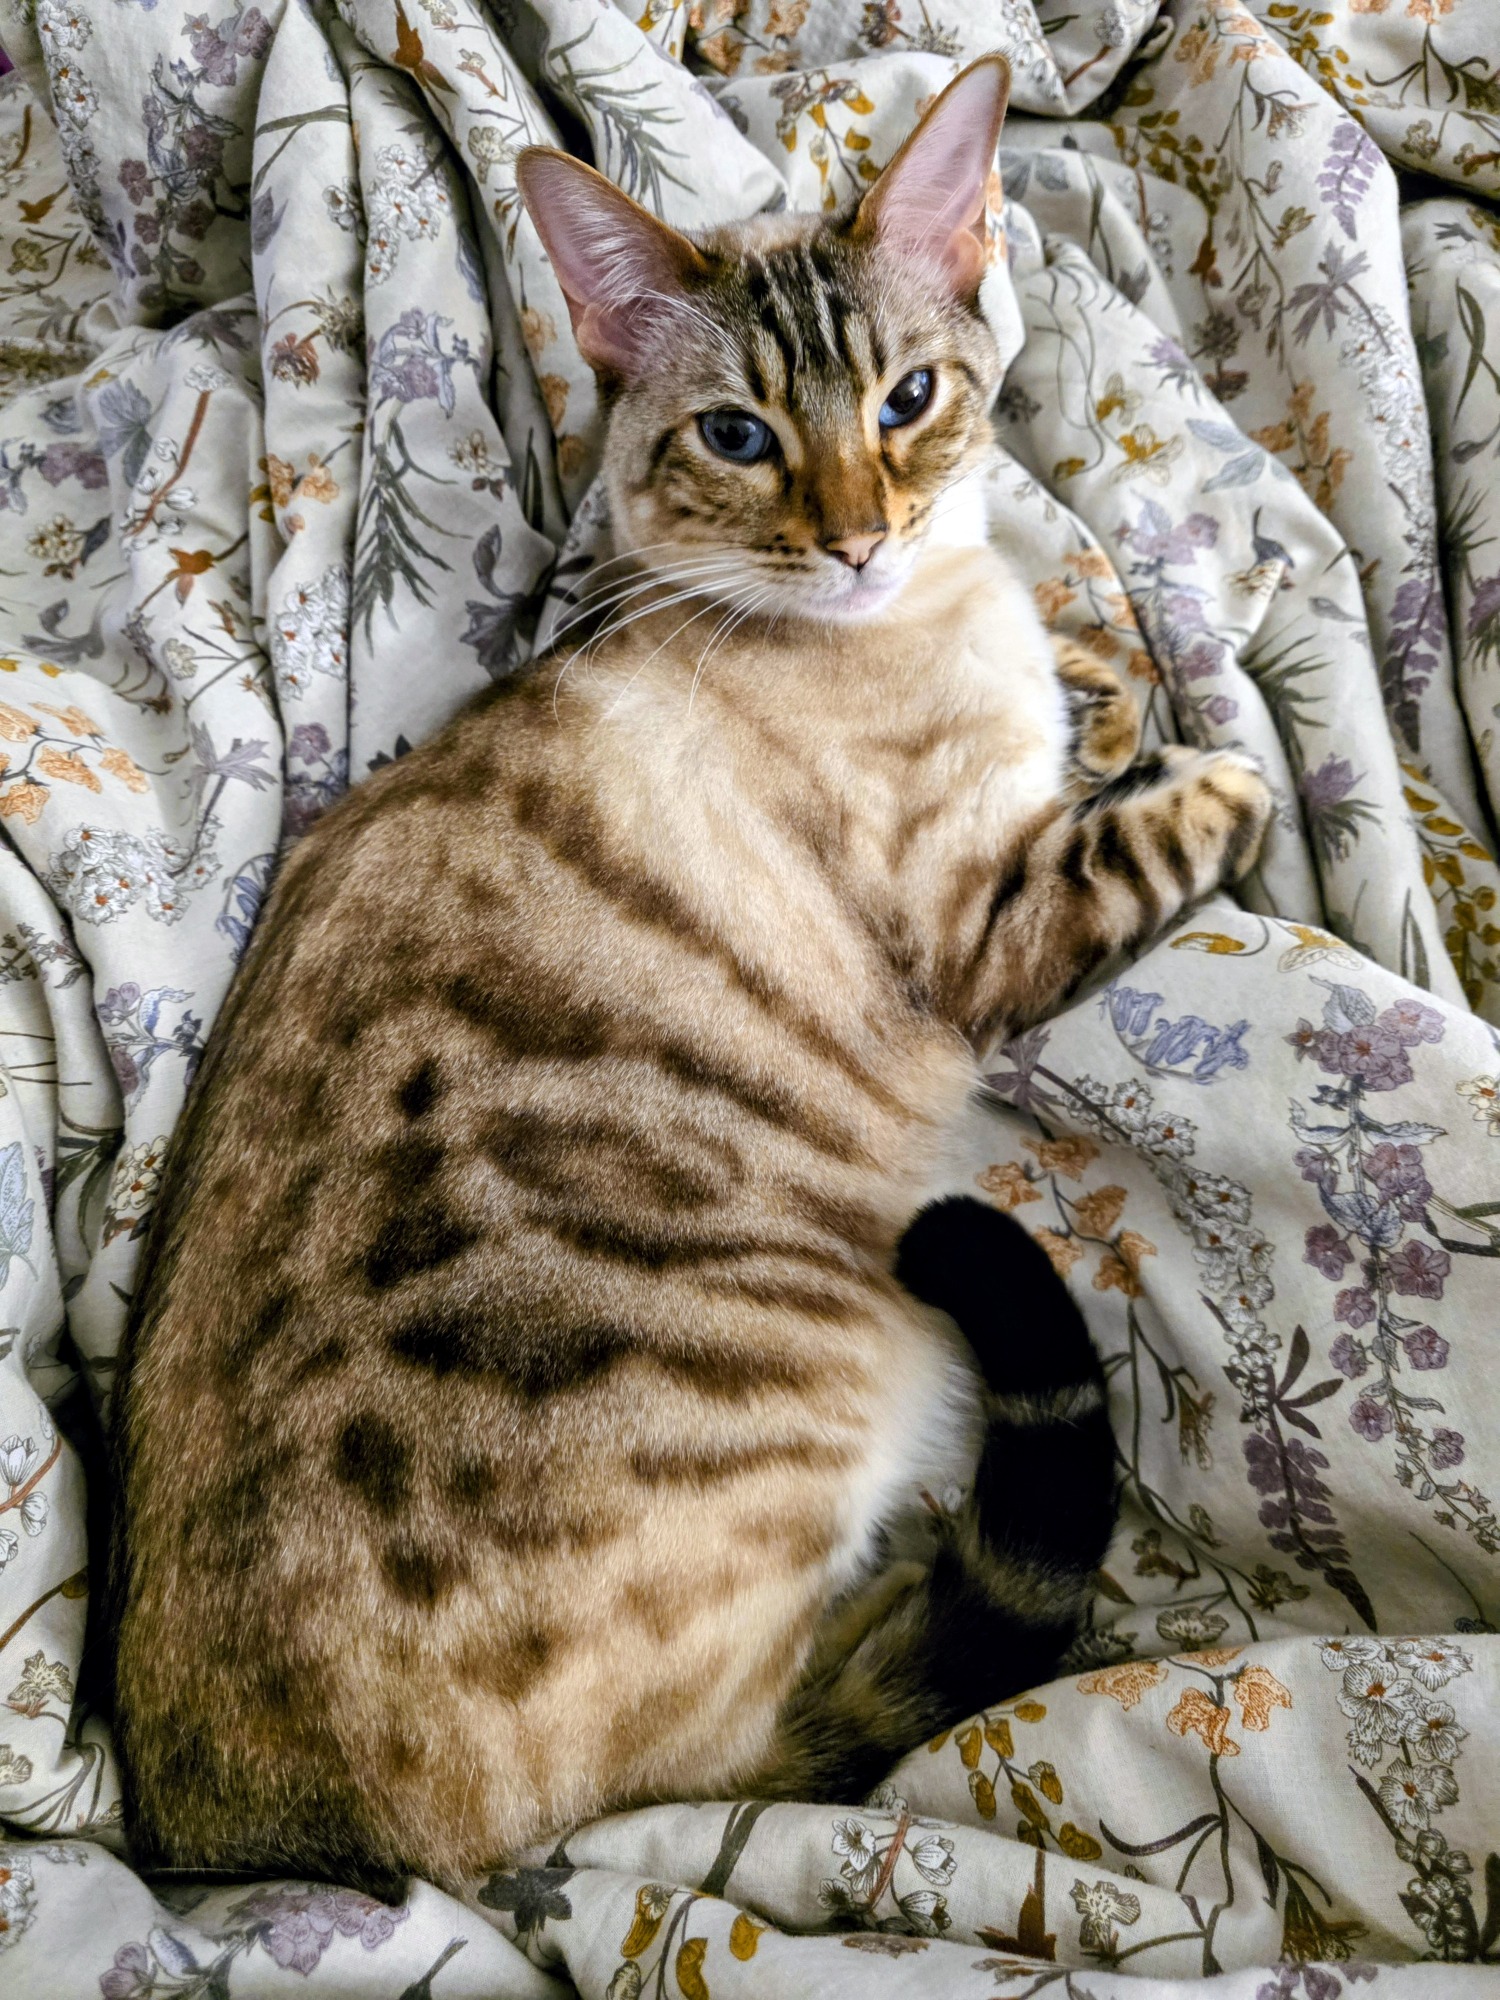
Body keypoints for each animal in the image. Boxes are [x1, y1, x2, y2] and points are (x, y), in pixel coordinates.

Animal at [111, 55, 1271, 1892]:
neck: (916, 616)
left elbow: (1095, 693)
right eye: (739, 436)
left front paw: (1103, 678)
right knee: (793, 1749)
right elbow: (1167, 813)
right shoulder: (984, 925)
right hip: (822, 1379)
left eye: (908, 400)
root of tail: (268, 1838)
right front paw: (1212, 763)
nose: (861, 540)